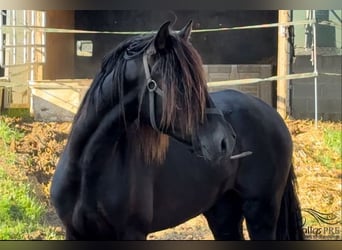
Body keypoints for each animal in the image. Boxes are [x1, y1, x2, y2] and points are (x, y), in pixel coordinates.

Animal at [49, 21, 304, 240]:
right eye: (181, 85)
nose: (225, 141)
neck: (87, 171)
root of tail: (273, 116)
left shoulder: (132, 234)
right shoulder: (75, 233)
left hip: (261, 212)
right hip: (223, 213)